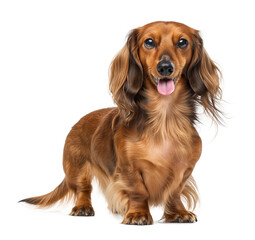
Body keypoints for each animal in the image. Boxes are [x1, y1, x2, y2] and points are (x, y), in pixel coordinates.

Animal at [19, 21, 222, 225]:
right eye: (149, 42)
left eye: (182, 42)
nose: (165, 67)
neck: (164, 121)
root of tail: (77, 122)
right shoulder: (128, 167)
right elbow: (138, 191)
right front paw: (138, 214)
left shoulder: (185, 168)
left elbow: (175, 191)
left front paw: (178, 212)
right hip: (77, 168)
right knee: (83, 190)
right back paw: (83, 207)